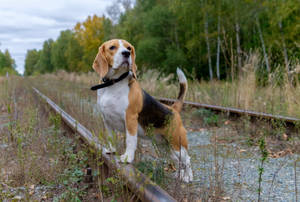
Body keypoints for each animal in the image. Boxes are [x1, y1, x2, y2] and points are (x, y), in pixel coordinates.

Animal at [91, 38, 193, 182]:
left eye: (129, 48)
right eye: (112, 47)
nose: (126, 53)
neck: (113, 84)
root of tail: (173, 109)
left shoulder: (130, 119)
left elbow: (130, 141)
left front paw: (127, 158)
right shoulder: (106, 120)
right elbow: (111, 137)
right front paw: (111, 150)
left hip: (176, 143)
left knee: (187, 159)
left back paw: (188, 177)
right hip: (166, 148)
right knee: (179, 161)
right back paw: (181, 175)